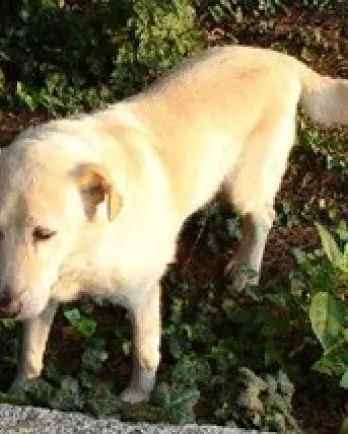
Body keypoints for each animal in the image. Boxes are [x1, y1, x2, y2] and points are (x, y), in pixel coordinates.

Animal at [0, 45, 348, 404]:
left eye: (44, 233)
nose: (5, 308)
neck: (87, 245)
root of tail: (277, 57)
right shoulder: (42, 295)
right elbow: (30, 355)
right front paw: (18, 393)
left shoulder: (143, 294)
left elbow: (145, 356)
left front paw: (135, 400)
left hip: (243, 188)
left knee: (263, 218)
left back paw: (247, 272)